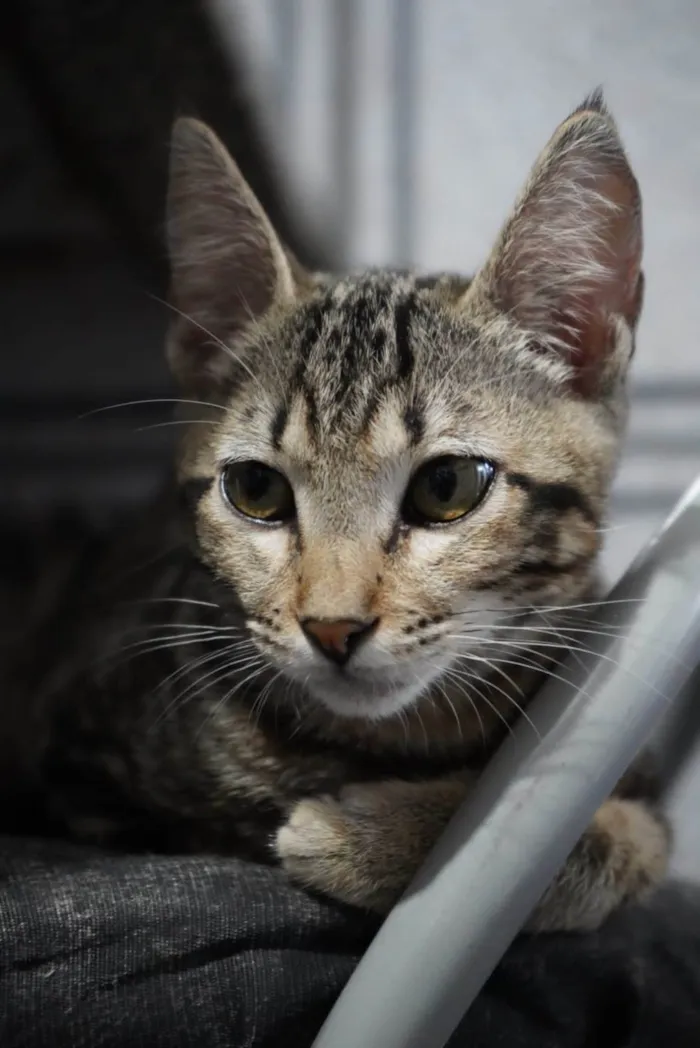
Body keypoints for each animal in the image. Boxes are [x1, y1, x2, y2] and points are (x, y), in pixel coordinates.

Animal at [6, 94, 670, 930]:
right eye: (256, 492)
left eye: (447, 487)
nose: (332, 629)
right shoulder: (76, 768)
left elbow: (601, 833)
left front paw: (372, 833)